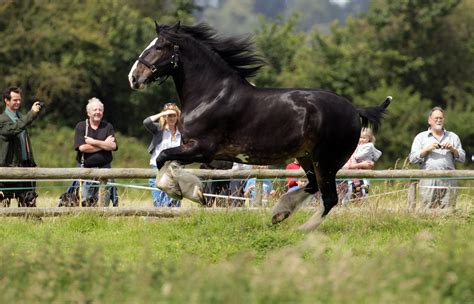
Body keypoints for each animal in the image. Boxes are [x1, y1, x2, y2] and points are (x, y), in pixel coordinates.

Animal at [128, 21, 390, 230]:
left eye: (159, 47)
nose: (133, 78)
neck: (211, 94)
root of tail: (355, 110)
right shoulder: (192, 148)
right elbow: (169, 163)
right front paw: (194, 191)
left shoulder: (202, 148)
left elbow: (162, 159)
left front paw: (186, 192)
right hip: (307, 157)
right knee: (313, 186)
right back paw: (280, 213)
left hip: (324, 161)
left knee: (329, 198)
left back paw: (301, 229)